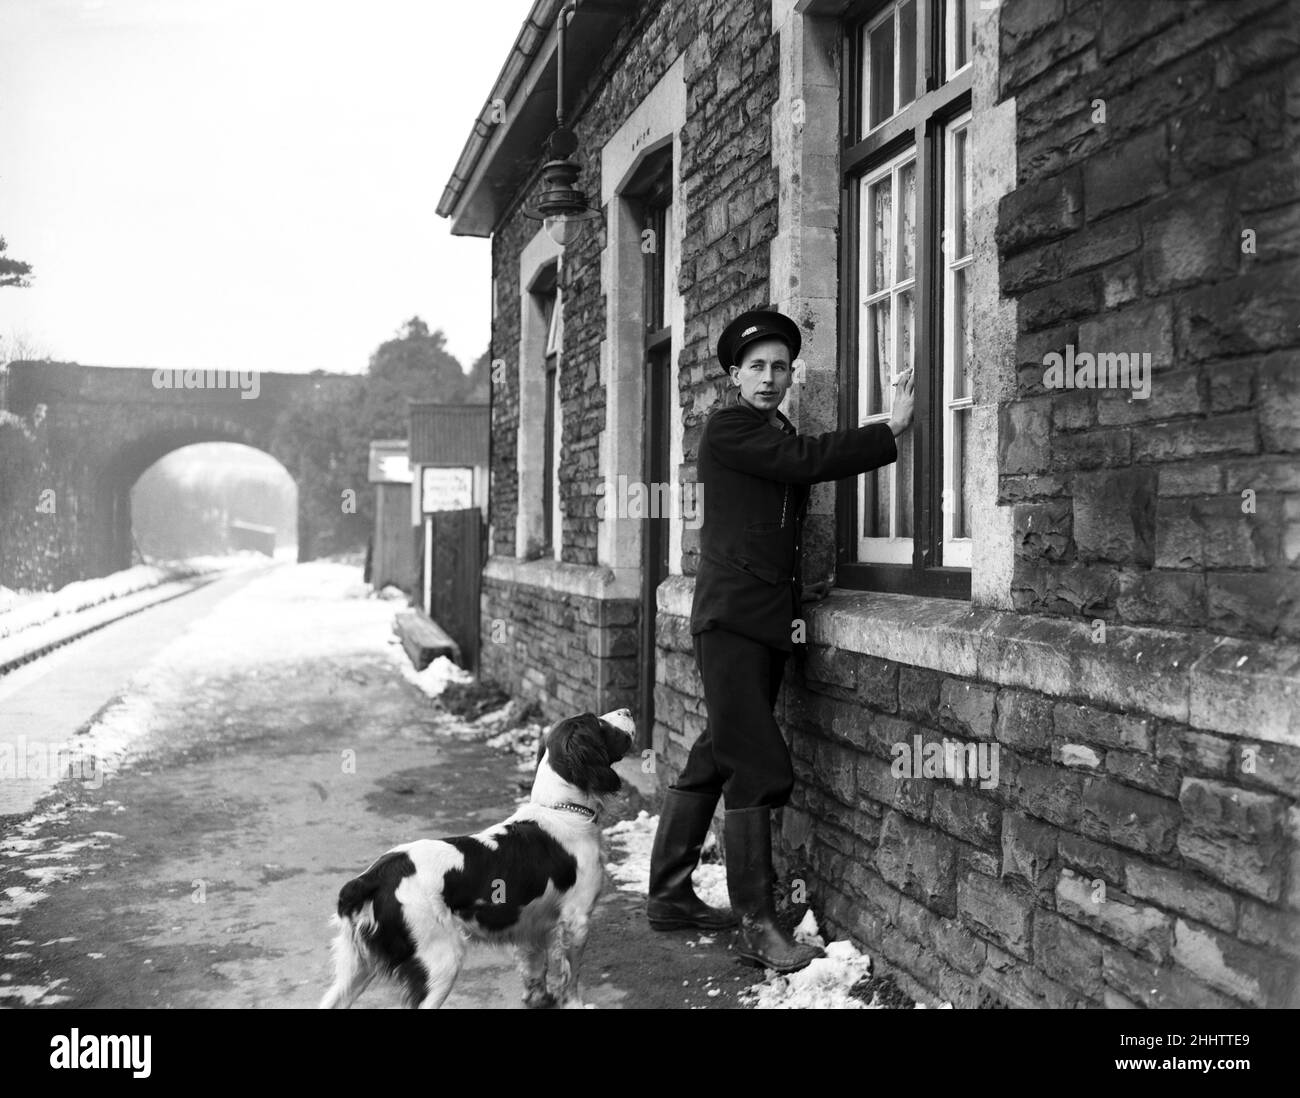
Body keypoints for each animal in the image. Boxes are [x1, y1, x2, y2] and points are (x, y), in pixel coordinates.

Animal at [319, 706, 634, 1008]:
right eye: (597, 722)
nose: (628, 711)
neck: (561, 809)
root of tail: (371, 878)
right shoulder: (576, 919)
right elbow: (570, 974)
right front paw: (575, 1004)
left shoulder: (532, 925)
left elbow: (535, 968)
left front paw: (538, 999)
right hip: (441, 961)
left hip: (358, 966)